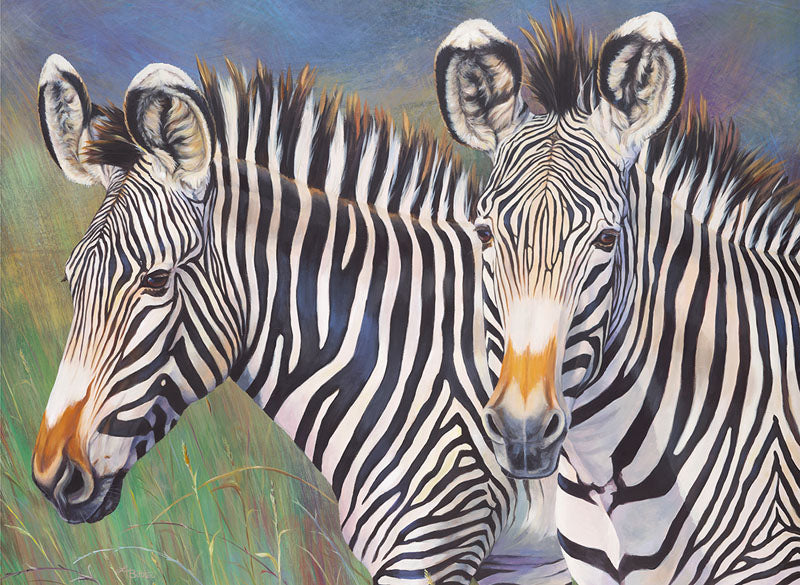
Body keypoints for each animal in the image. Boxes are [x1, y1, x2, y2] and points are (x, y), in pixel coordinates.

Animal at [31, 55, 570, 584]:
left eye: (157, 281)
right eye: (70, 280)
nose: (53, 476)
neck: (418, 360)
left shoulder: (434, 548)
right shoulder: (515, 561)